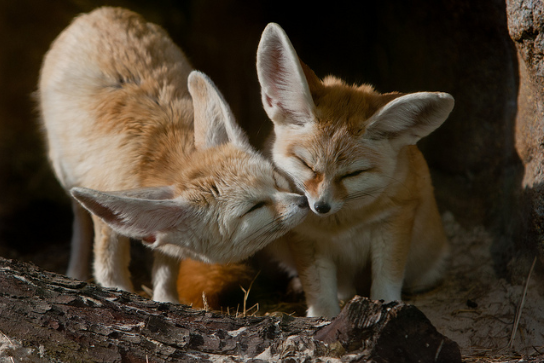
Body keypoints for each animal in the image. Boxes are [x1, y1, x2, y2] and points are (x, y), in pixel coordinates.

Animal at [37, 8, 308, 304]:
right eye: (254, 208)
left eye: (276, 181)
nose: (304, 202)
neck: (164, 161)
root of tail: (99, 12)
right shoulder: (108, 226)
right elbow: (110, 275)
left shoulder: (165, 239)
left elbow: (167, 273)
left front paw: (167, 300)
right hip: (65, 172)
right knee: (79, 217)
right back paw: (75, 270)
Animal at [255, 24, 454, 318]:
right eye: (306, 165)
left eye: (353, 174)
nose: (321, 207)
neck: (341, 225)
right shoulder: (307, 239)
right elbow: (319, 292)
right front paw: (324, 318)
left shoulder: (394, 220)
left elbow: (387, 280)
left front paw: (388, 307)